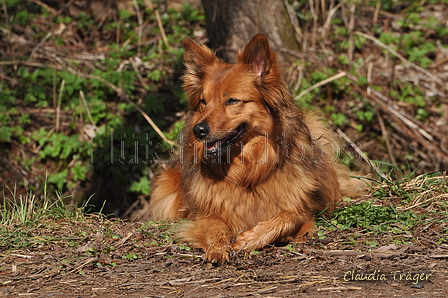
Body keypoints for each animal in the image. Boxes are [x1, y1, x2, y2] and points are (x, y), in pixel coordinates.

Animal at [149, 34, 366, 264]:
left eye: (232, 100)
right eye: (203, 102)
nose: (198, 130)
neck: (247, 173)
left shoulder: (302, 209)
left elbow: (289, 217)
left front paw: (248, 239)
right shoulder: (203, 214)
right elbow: (215, 226)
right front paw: (218, 248)